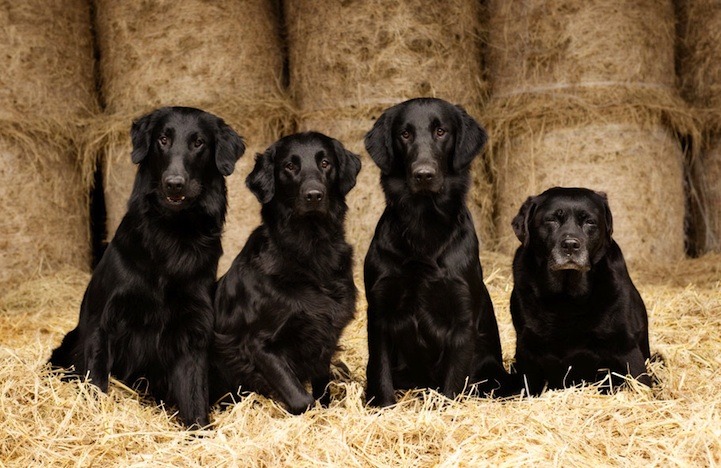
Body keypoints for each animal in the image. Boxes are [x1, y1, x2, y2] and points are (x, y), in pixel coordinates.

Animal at [48, 107, 245, 428]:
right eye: (163, 139)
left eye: (199, 143)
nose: (174, 183)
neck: (172, 235)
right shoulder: (103, 324)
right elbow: (96, 383)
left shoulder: (192, 333)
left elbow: (194, 397)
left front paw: (201, 433)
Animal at [211, 131, 362, 414]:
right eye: (290, 166)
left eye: (325, 163)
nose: (314, 195)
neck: (310, 251)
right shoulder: (257, 344)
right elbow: (302, 399)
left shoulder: (325, 336)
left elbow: (322, 390)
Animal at [366, 96, 506, 406]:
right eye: (405, 134)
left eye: (441, 131)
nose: (423, 175)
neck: (423, 225)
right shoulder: (379, 312)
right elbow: (380, 373)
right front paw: (384, 407)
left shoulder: (462, 318)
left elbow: (453, 383)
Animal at [510, 186, 648, 394]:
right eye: (551, 220)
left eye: (589, 221)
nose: (570, 245)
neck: (567, 297)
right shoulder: (527, 349)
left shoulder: (626, 346)